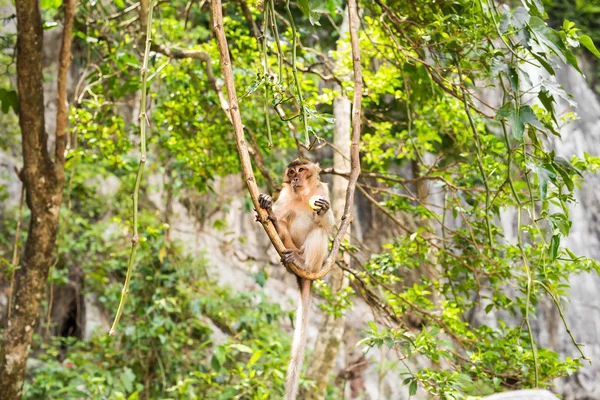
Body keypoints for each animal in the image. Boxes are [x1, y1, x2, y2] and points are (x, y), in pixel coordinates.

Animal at [258, 158, 336, 398]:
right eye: (291, 172)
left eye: (301, 170)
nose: (294, 178)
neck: (304, 195)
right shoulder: (285, 195)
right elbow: (277, 213)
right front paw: (267, 204)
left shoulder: (323, 191)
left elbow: (329, 226)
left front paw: (325, 211)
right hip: (288, 245)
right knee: (283, 223)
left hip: (317, 263)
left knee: (319, 231)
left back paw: (303, 263)